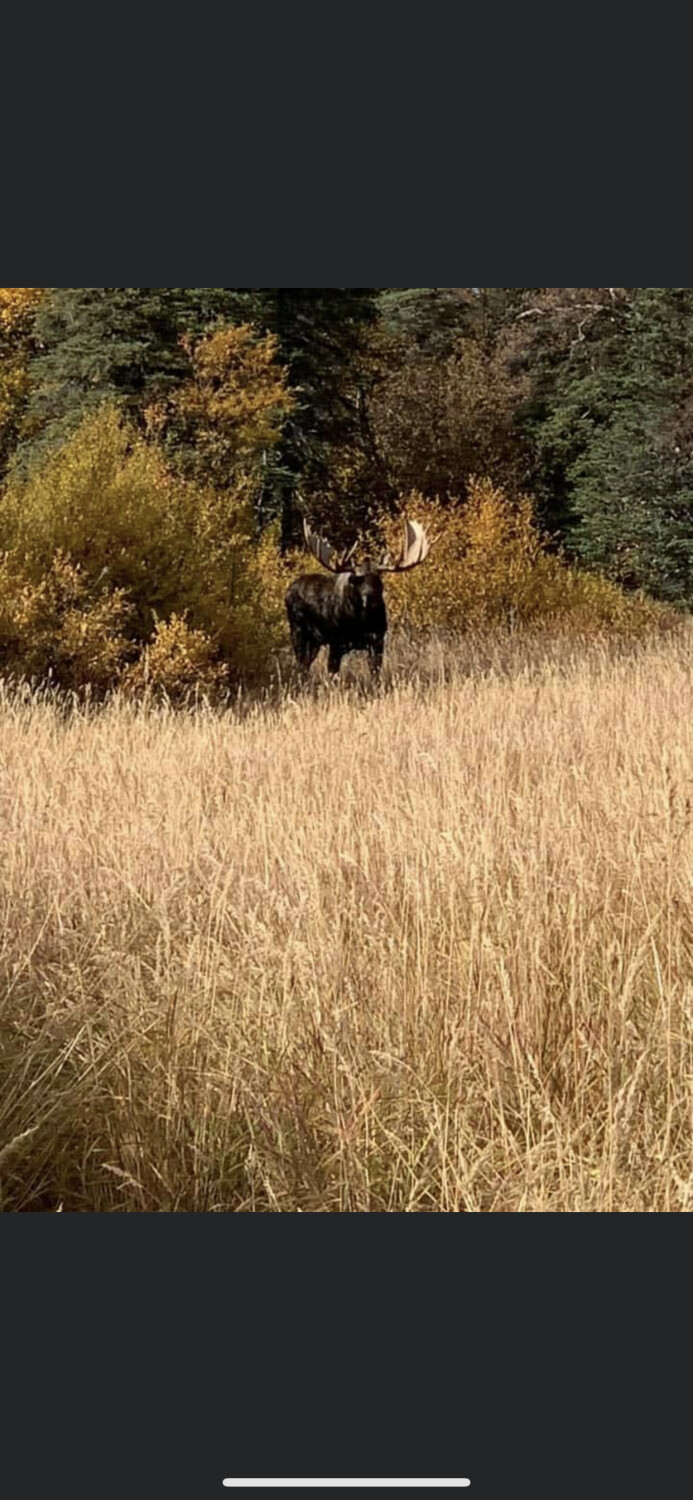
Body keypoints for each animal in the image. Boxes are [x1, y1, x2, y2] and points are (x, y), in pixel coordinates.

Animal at [285, 516, 432, 678]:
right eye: (356, 580)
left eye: (378, 578)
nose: (370, 597)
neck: (360, 622)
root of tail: (289, 590)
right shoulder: (336, 642)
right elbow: (332, 674)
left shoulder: (377, 640)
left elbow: (375, 675)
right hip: (297, 631)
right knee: (300, 665)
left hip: (314, 641)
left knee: (305, 665)